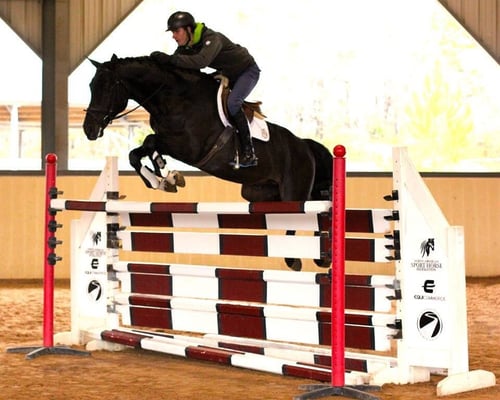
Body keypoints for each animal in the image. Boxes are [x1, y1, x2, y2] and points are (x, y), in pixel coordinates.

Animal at [83, 54, 332, 202]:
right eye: (91, 85)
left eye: (106, 88)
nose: (89, 129)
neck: (174, 98)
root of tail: (305, 146)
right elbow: (137, 153)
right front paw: (162, 177)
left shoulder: (190, 148)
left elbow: (150, 142)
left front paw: (162, 178)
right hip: (259, 192)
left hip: (294, 193)